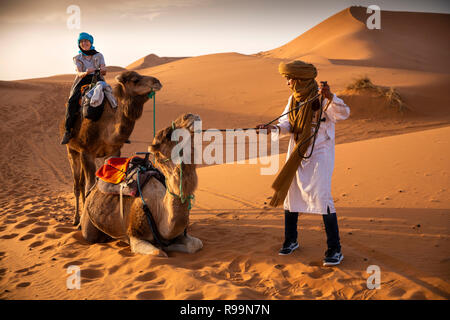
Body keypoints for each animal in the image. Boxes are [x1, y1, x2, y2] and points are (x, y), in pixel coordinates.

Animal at [60, 70, 163, 225]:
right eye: (135, 80)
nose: (157, 82)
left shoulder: (114, 151)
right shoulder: (86, 152)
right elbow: (89, 185)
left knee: (81, 183)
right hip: (71, 151)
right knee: (77, 184)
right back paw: (76, 219)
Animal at [80, 114, 203, 256]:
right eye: (168, 134)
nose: (190, 116)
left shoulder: (178, 234)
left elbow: (196, 244)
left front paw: (168, 246)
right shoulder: (135, 235)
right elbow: (158, 252)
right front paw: (163, 248)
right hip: (88, 222)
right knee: (90, 235)